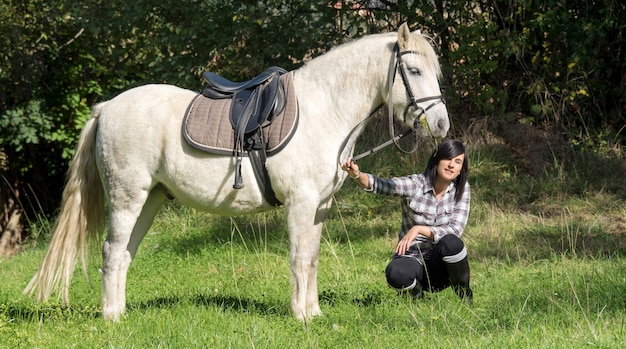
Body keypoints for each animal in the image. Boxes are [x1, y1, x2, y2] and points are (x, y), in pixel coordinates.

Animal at [23, 23, 444, 320]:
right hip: (128, 199)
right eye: (413, 69)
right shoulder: (301, 203)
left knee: (125, 253)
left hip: (150, 200)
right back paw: (111, 317)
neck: (323, 109)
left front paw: (314, 311)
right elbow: (298, 257)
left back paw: (122, 313)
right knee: (112, 252)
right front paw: (301, 315)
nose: (441, 125)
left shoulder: (319, 207)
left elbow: (311, 258)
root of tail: (106, 107)